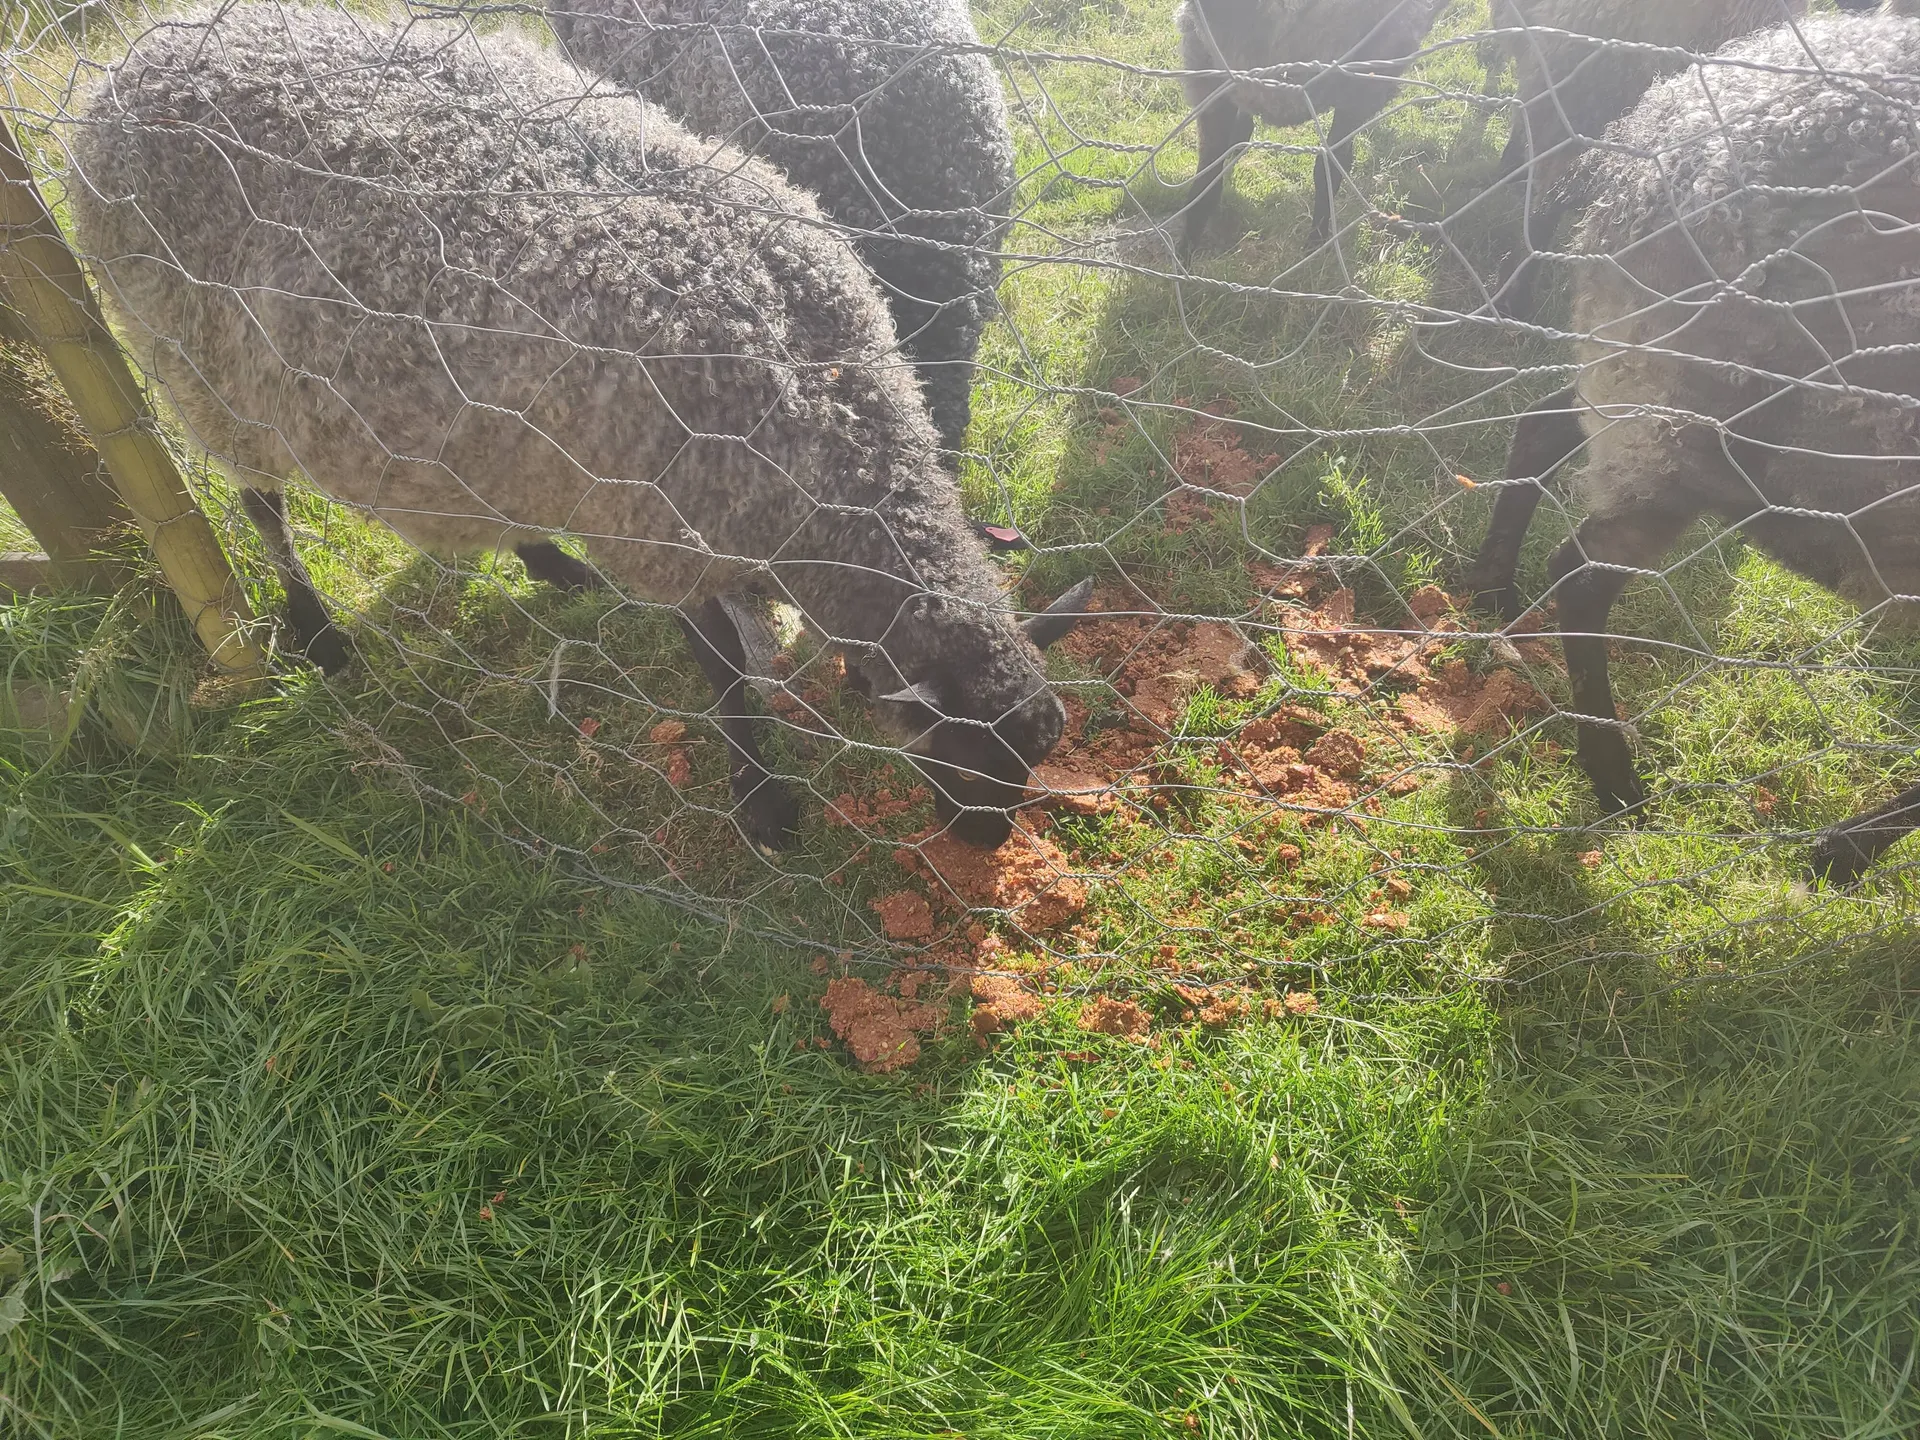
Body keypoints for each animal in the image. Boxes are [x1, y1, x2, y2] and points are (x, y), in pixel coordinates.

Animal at [1174, 0, 1447, 252]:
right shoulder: (1210, 78)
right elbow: (1206, 176)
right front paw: (1186, 253)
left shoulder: (1357, 92)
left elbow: (1330, 168)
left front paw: (1315, 245)